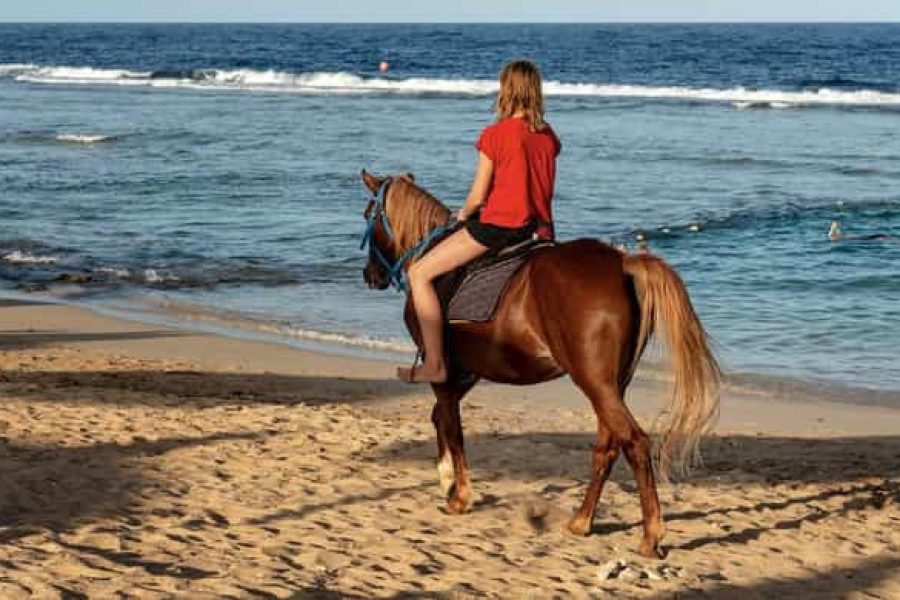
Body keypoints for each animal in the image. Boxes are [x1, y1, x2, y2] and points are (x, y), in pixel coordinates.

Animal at [359, 170, 720, 558]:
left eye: (368, 214)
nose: (370, 275)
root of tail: (622, 264)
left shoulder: (441, 367)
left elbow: (450, 424)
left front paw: (457, 493)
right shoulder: (468, 371)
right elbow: (442, 416)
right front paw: (448, 482)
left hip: (594, 381)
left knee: (634, 442)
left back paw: (650, 535)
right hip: (611, 384)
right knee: (608, 446)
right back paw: (582, 521)